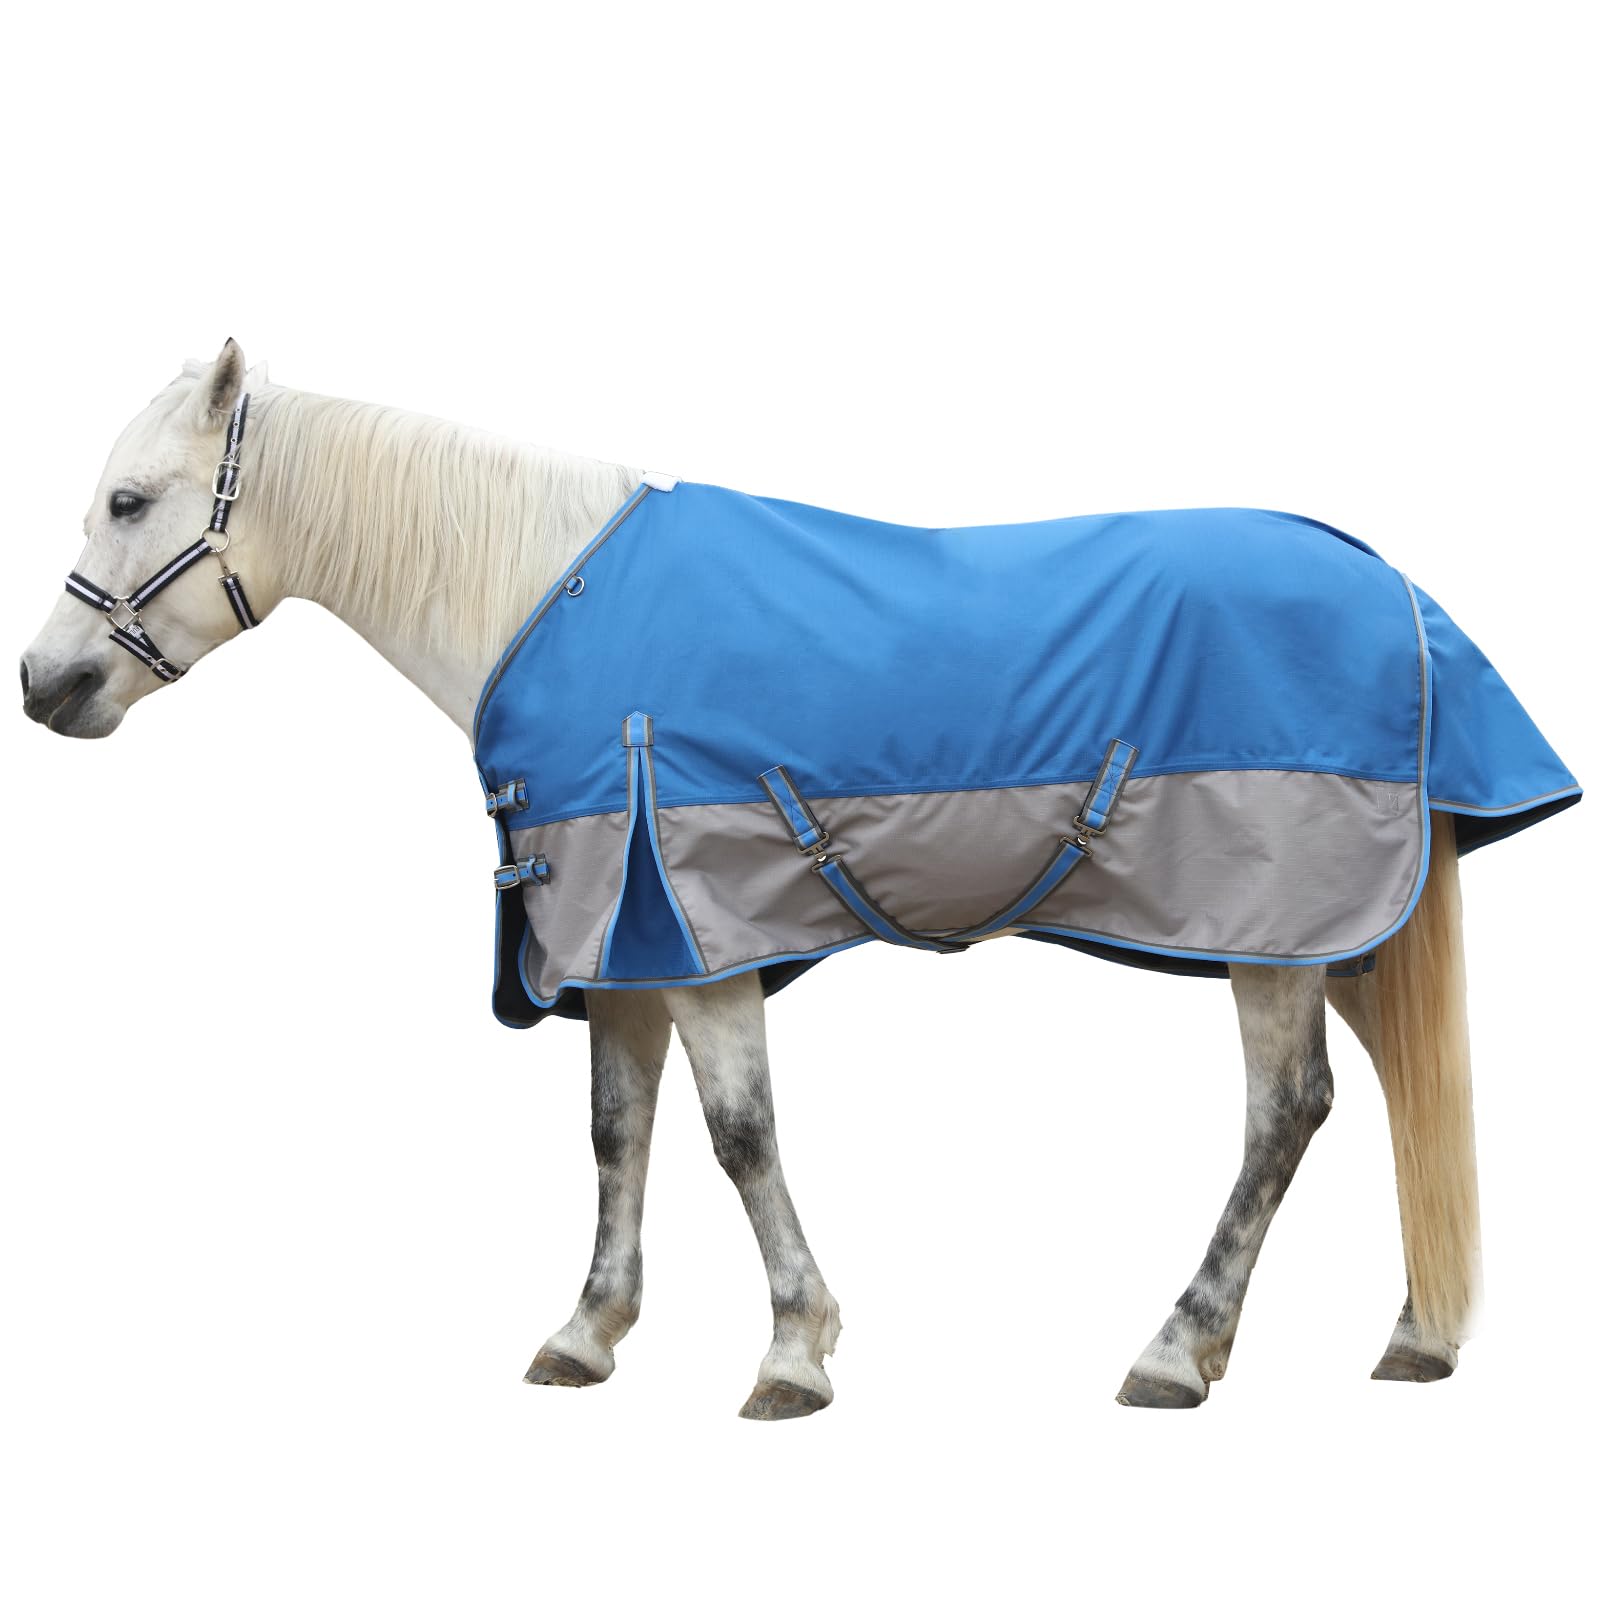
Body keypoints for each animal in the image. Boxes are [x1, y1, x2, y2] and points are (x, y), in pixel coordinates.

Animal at [21, 341, 1579, 1417]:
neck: (544, 596)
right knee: (1395, 1085)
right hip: (1342, 925)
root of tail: (1397, 591)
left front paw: (791, 1352)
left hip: (1276, 929)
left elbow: (739, 1137)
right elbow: (618, 1137)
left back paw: (1176, 1350)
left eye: (130, 499)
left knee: (1285, 1113)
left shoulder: (695, 930)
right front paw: (587, 1333)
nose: (45, 685)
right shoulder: (621, 941)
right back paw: (1414, 1334)